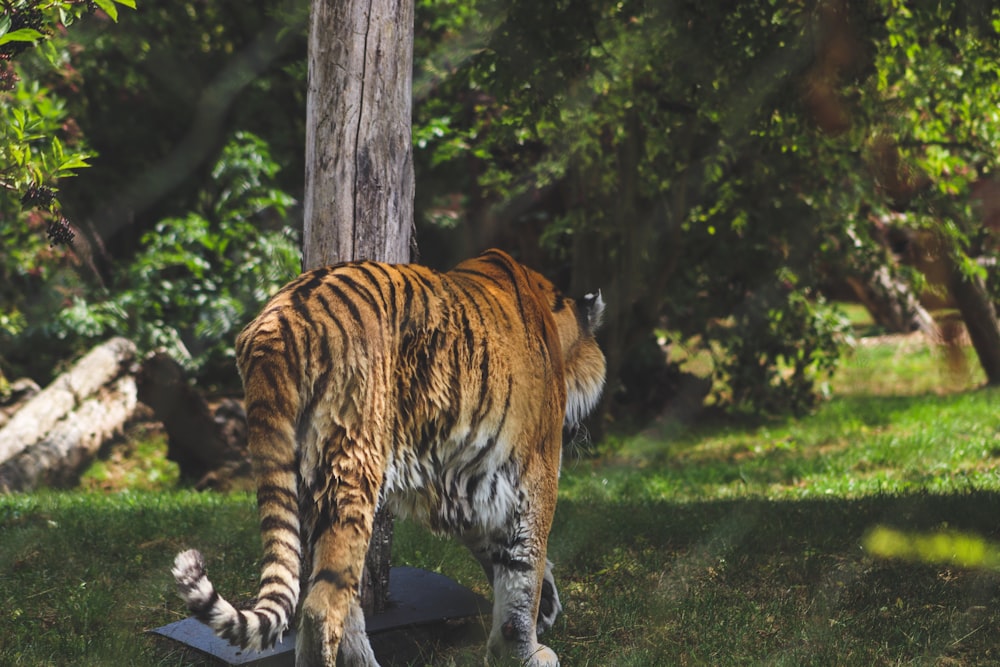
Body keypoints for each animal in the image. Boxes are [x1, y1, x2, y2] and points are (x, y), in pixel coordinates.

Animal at [171, 249, 604, 667]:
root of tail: (276, 323)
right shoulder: (533, 473)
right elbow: (525, 566)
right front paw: (526, 650)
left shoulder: (469, 482)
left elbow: (502, 557)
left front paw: (539, 614)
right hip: (350, 467)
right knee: (321, 609)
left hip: (308, 485)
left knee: (339, 596)